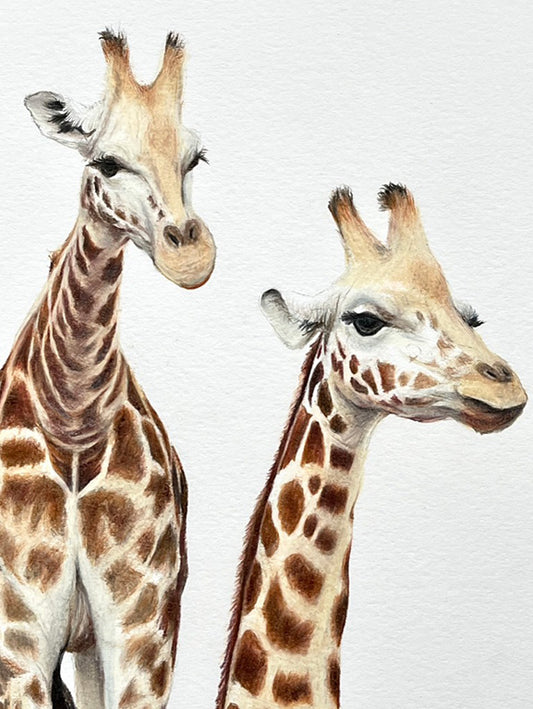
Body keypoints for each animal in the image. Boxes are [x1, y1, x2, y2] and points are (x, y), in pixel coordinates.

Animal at [0, 30, 215, 708]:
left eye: (195, 158)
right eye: (108, 162)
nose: (191, 256)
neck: (73, 413)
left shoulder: (146, 633)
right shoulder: (16, 641)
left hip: (93, 647)